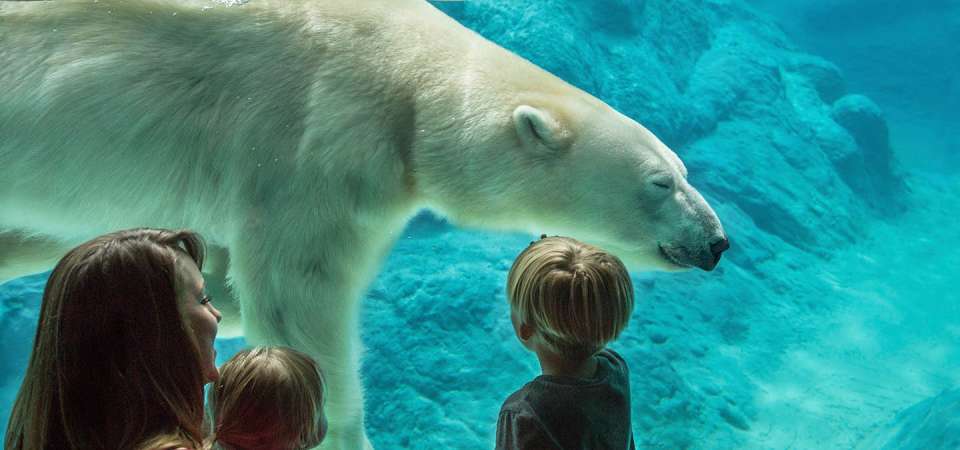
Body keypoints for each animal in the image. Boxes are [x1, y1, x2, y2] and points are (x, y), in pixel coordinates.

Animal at [0, 0, 728, 448]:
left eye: (683, 169)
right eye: (660, 182)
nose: (718, 242)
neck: (413, 72)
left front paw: (216, 286)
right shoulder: (319, 130)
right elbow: (296, 295)